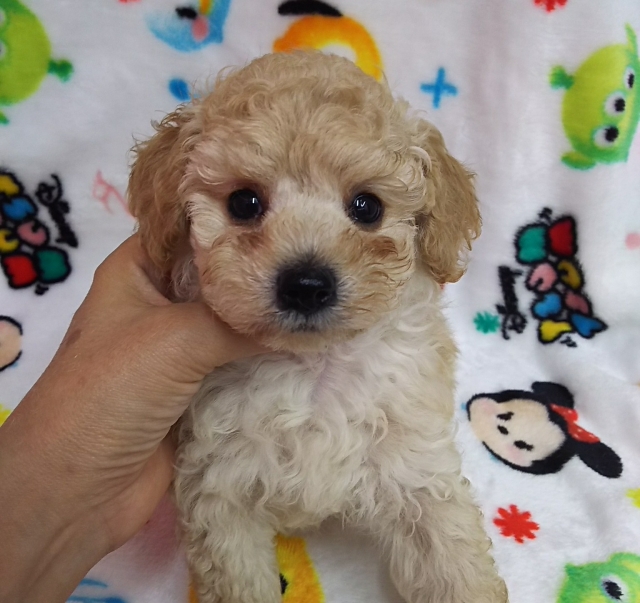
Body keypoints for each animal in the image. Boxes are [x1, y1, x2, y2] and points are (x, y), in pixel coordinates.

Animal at [128, 51, 508, 603]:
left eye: (367, 207)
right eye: (243, 203)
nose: (306, 285)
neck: (311, 368)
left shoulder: (416, 468)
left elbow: (452, 563)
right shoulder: (218, 488)